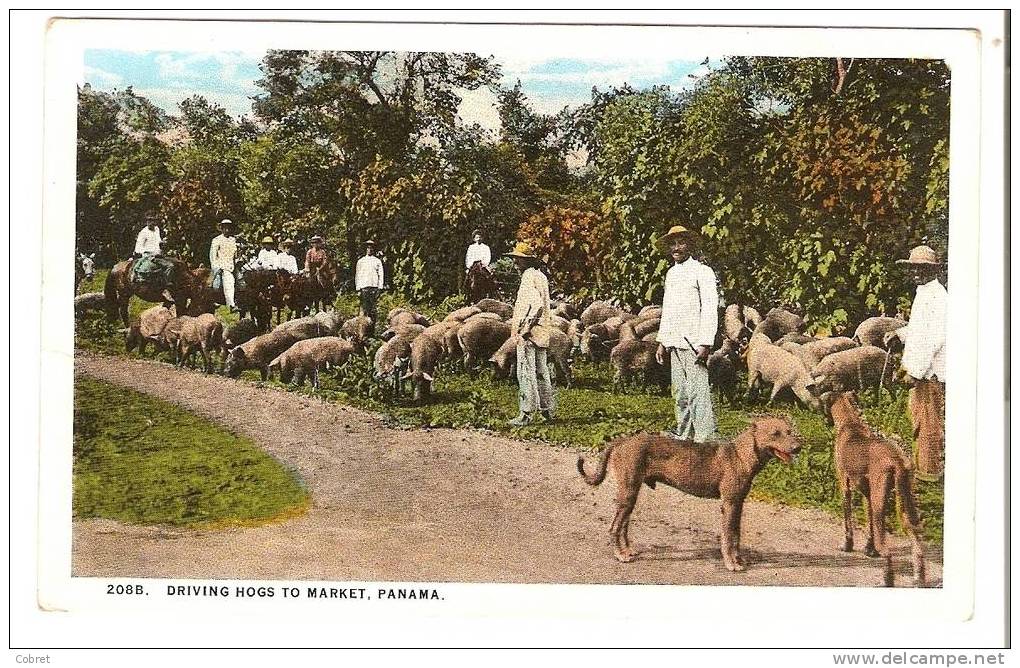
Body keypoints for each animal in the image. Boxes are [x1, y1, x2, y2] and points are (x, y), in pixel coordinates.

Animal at [579, 416, 799, 571]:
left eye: (790, 431)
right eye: (775, 433)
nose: (798, 447)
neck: (740, 455)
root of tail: (623, 440)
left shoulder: (738, 504)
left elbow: (736, 536)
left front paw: (738, 559)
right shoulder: (729, 504)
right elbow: (728, 537)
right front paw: (731, 563)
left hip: (630, 495)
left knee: (623, 525)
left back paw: (627, 550)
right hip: (628, 493)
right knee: (615, 527)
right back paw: (620, 555)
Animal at [824, 391, 930, 587]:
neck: (850, 423)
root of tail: (897, 459)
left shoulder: (845, 486)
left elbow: (848, 521)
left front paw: (848, 545)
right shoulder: (868, 495)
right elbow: (869, 524)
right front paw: (869, 549)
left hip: (882, 506)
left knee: (887, 550)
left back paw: (888, 579)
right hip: (902, 506)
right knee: (917, 545)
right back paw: (918, 578)